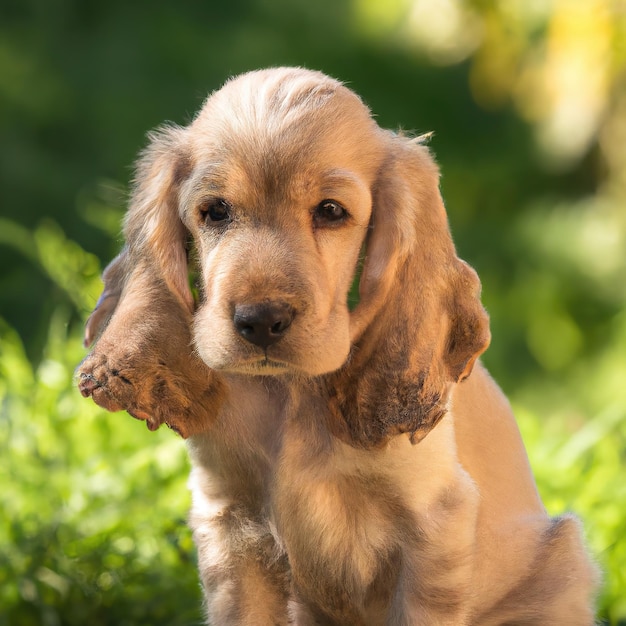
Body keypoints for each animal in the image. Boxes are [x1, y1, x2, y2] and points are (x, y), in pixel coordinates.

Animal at [75, 66, 596, 620]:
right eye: (214, 211)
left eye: (330, 211)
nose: (262, 321)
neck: (290, 393)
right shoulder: (229, 527)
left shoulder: (435, 526)